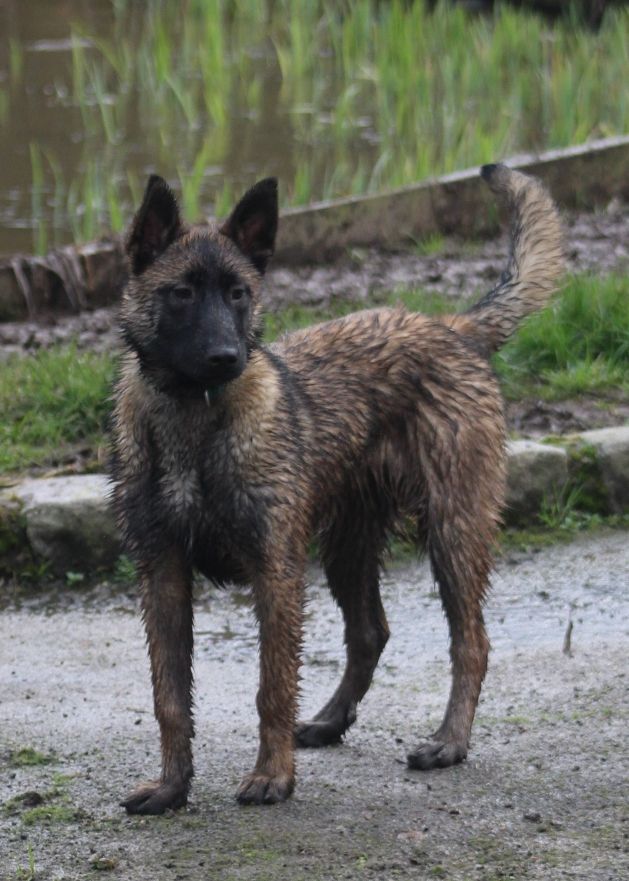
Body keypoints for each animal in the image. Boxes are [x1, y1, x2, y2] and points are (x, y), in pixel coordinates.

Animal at [111, 163, 564, 813]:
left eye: (239, 293)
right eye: (183, 293)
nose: (227, 356)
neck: (195, 418)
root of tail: (452, 329)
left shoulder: (275, 571)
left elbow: (272, 686)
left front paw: (273, 775)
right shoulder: (162, 573)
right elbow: (169, 696)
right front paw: (173, 786)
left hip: (453, 531)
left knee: (470, 642)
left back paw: (449, 742)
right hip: (347, 545)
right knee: (370, 632)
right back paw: (330, 720)